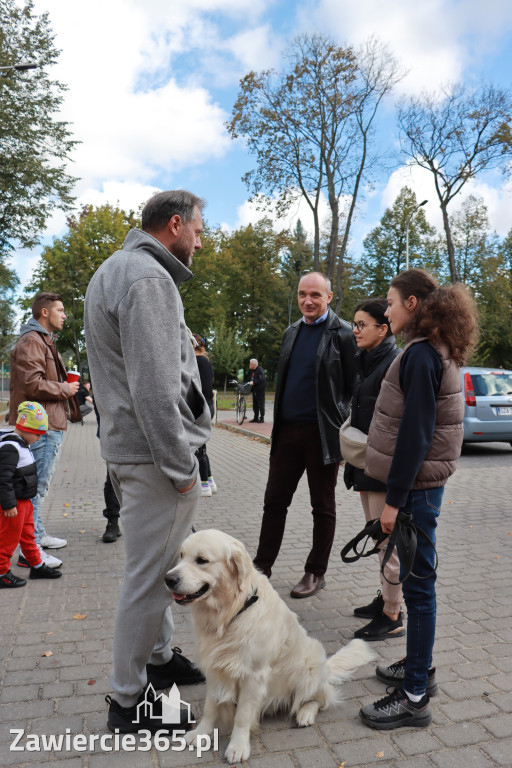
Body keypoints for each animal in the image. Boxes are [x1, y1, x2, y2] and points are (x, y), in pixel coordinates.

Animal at [166, 528, 374, 760]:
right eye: (181, 556)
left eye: (202, 560)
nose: (168, 579)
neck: (231, 612)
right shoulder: (214, 668)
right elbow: (211, 707)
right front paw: (200, 734)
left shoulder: (253, 675)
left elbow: (242, 715)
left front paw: (238, 746)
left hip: (309, 670)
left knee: (321, 698)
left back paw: (305, 713)